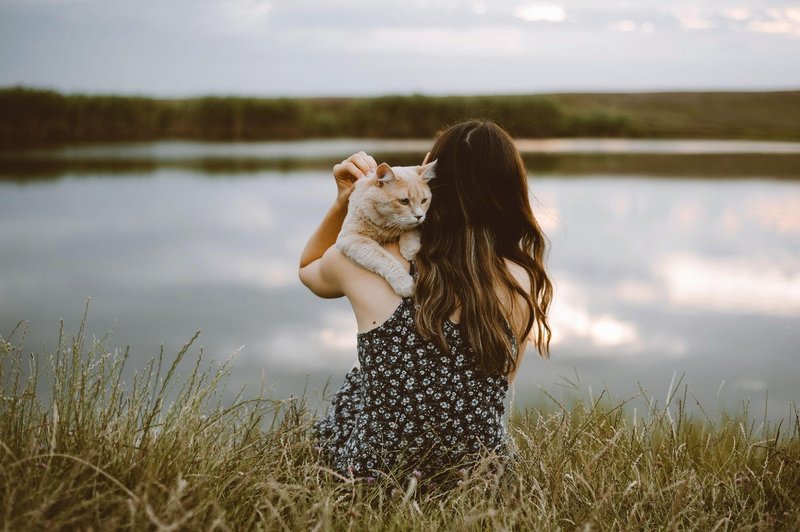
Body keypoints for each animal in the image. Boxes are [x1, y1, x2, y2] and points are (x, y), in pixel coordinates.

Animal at [338, 160, 438, 298]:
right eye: (404, 201)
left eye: (424, 200)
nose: (419, 216)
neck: (387, 225)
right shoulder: (351, 238)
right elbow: (384, 258)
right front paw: (404, 283)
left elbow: (411, 227)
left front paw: (410, 249)